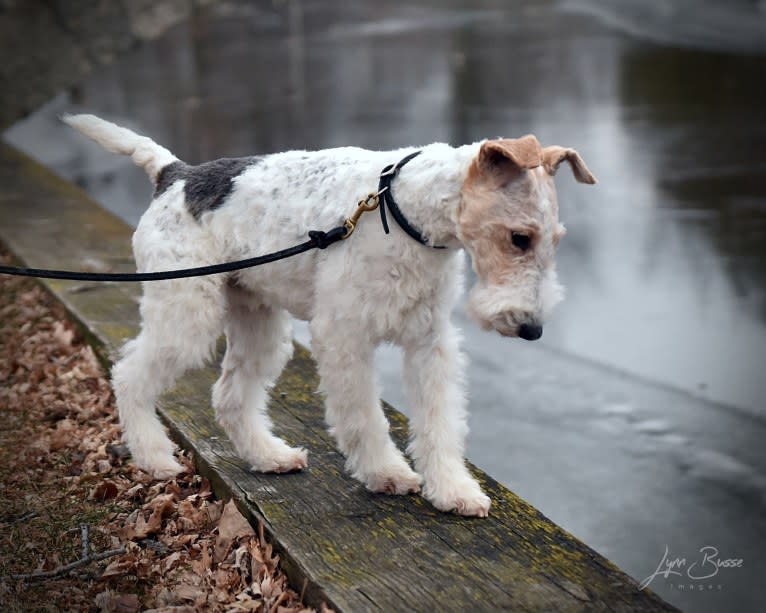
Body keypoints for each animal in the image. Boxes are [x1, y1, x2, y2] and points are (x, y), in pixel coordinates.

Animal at [63, 113, 596, 516]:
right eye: (519, 237)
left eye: (555, 240)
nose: (532, 329)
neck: (404, 209)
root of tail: (176, 174)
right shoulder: (345, 334)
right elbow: (363, 416)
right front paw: (386, 473)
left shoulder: (430, 341)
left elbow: (440, 421)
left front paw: (453, 490)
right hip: (185, 312)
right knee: (130, 375)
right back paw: (155, 458)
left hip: (258, 320)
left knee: (230, 396)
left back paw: (270, 456)